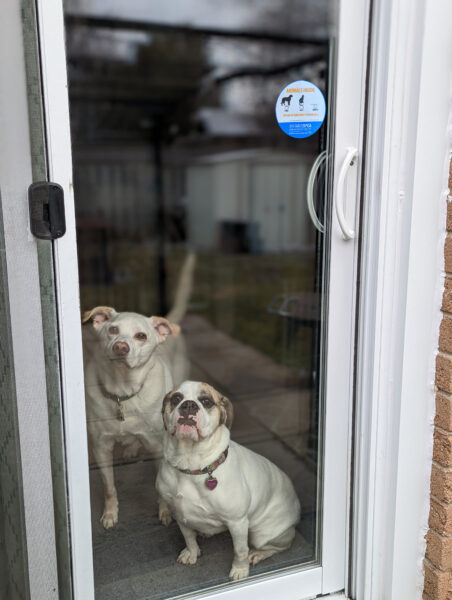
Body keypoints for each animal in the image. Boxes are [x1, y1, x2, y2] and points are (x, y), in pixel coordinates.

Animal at [83, 308, 178, 528]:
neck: (122, 392)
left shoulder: (158, 449)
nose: (120, 347)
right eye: (113, 330)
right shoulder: (101, 448)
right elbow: (109, 487)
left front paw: (165, 511)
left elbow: (161, 486)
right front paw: (110, 513)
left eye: (141, 336)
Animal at [156, 380, 300, 580]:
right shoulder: (180, 515)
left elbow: (240, 550)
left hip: (262, 534)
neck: (190, 464)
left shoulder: (237, 522)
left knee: (280, 545)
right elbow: (188, 537)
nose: (189, 405)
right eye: (176, 398)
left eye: (206, 401)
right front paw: (191, 553)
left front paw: (240, 570)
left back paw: (257, 553)